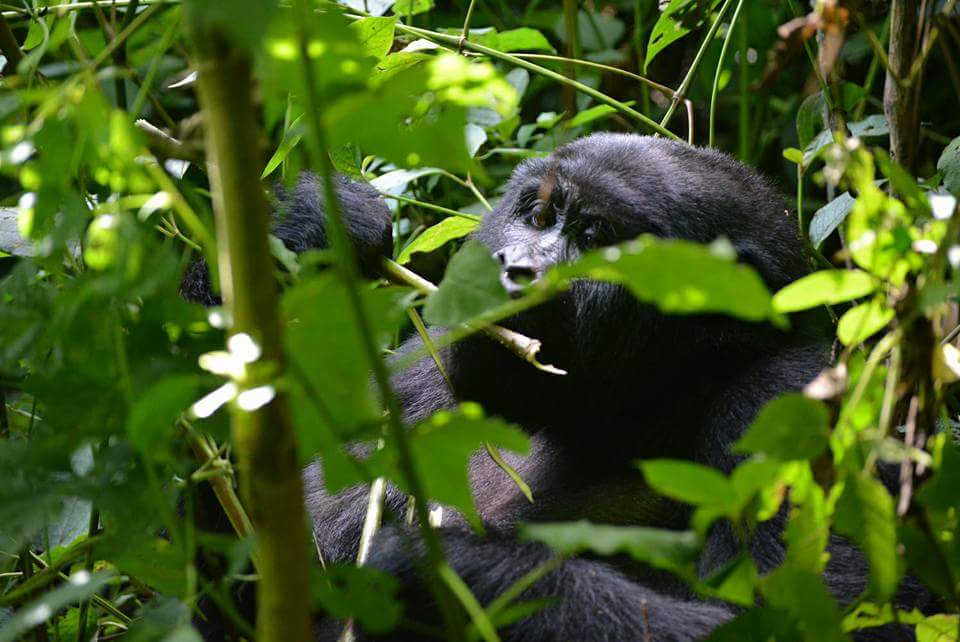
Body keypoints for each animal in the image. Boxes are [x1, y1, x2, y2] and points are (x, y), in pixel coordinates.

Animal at [184, 132, 928, 636]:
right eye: (538, 217)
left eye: (596, 238)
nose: (512, 269)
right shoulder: (427, 367)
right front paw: (303, 229)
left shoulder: (794, 399)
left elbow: (821, 620)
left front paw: (435, 567)